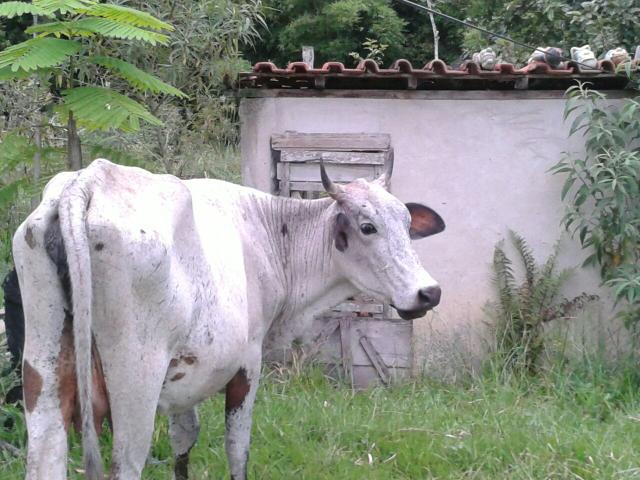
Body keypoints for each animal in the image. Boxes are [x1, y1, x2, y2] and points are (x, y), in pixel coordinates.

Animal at [13, 156, 445, 480]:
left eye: (408, 224)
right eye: (368, 227)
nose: (429, 292)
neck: (269, 233)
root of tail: (89, 180)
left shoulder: (183, 377)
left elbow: (184, 440)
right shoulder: (247, 363)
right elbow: (238, 450)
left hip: (43, 374)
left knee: (44, 457)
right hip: (135, 385)